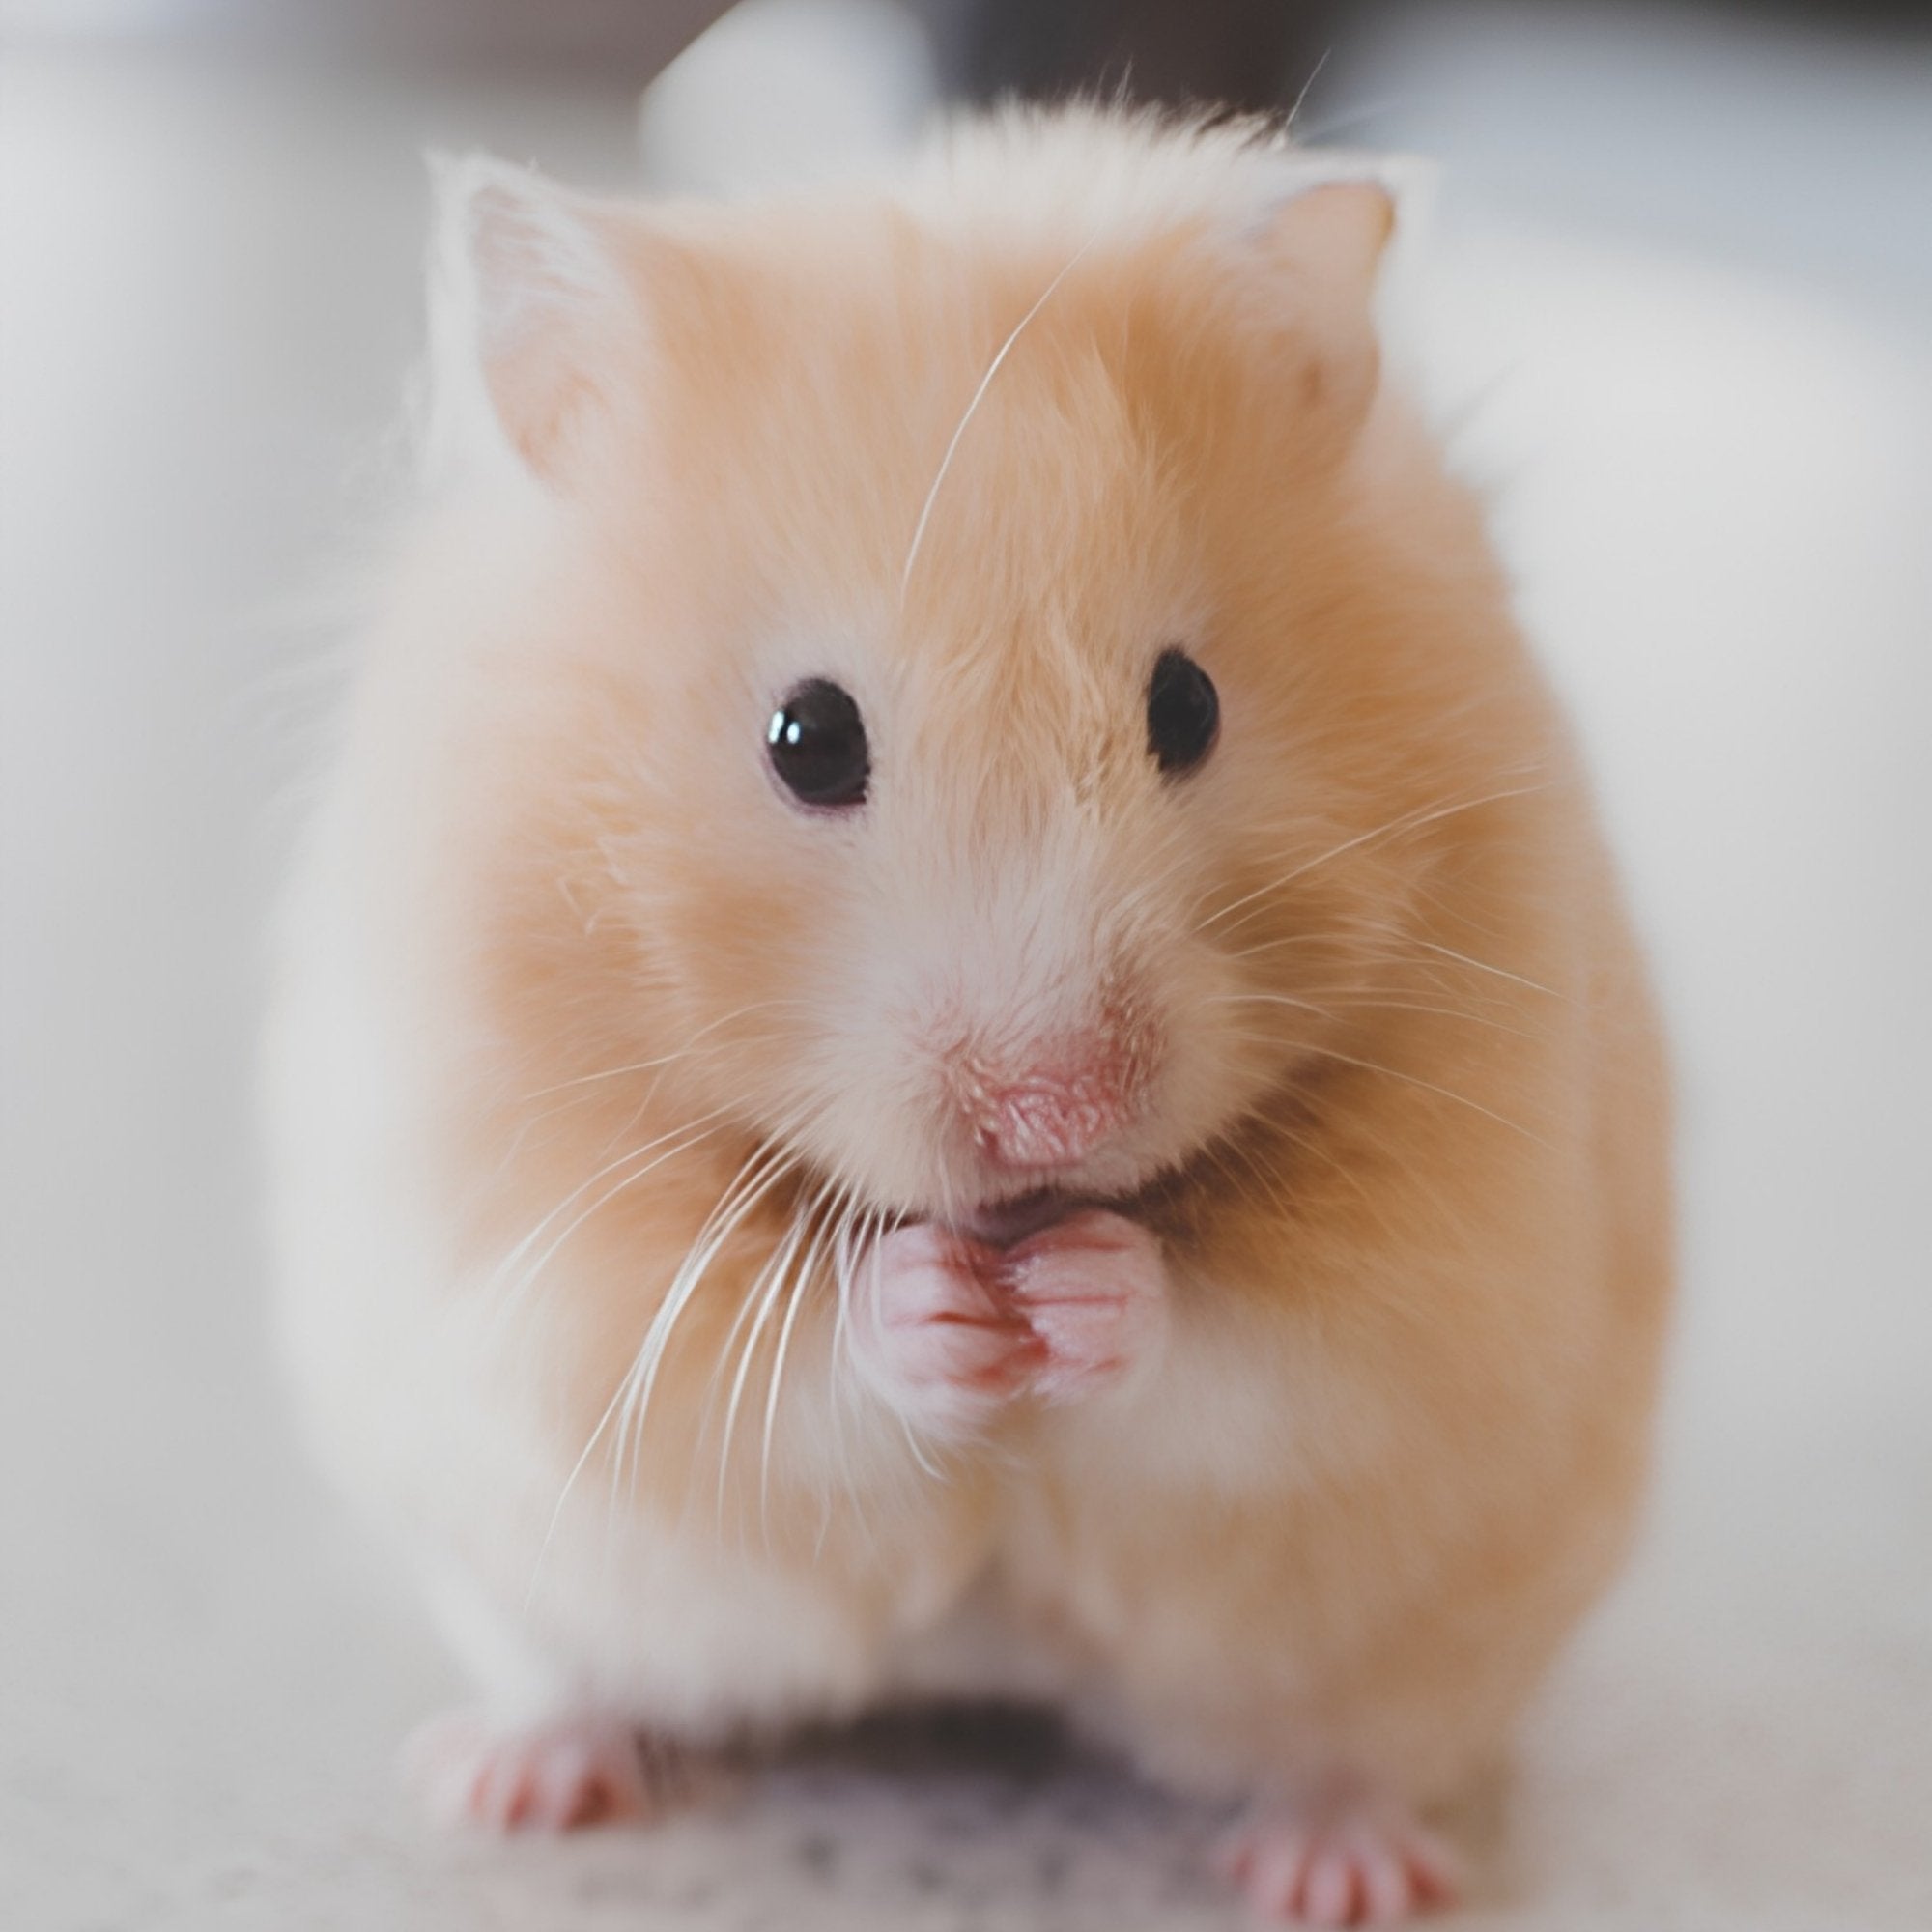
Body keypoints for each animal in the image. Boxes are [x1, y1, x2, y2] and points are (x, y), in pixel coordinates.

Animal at [263, 106, 1672, 1926]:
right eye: (806, 738)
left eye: (1188, 707)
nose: (1055, 1115)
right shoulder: (535, 1244)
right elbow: (770, 1361)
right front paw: (938, 1305)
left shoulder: (1450, 1259)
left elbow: (1262, 1354)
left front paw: (1081, 1293)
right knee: (574, 1675)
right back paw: (508, 1783)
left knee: (1351, 1750)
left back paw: (1339, 1874)